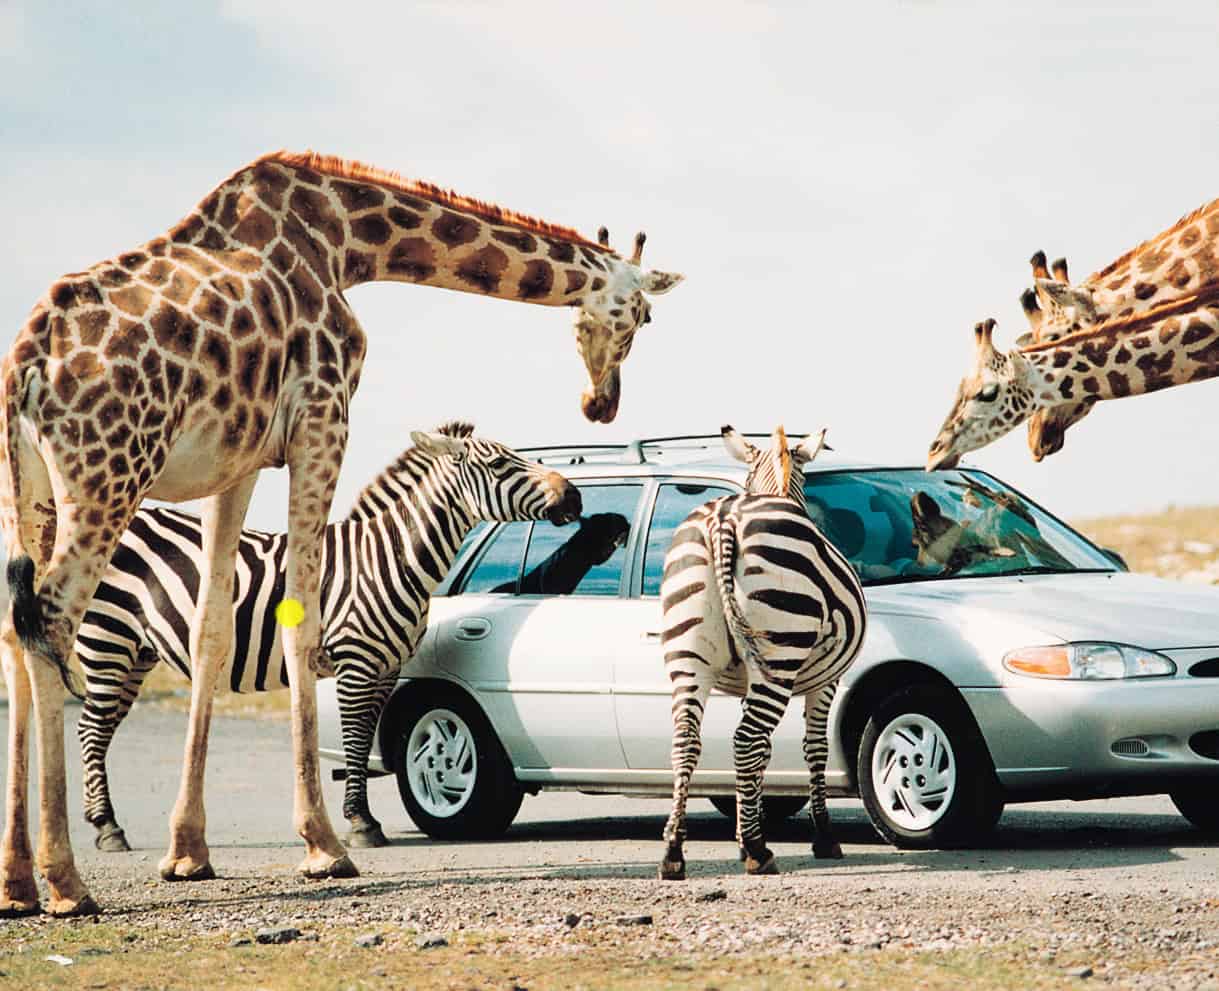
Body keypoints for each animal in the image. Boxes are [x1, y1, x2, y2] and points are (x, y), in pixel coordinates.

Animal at [76, 419, 580, 848]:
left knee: (98, 729)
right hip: (106, 638)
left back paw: (101, 822)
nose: (573, 496)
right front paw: (360, 823)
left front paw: (364, 817)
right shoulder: (356, 663)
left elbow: (367, 739)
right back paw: (107, 828)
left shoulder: (386, 668)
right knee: (89, 728)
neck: (388, 557)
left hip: (136, 652)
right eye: (499, 465)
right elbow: (356, 738)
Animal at [658, 421, 867, 877]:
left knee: (688, 741)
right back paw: (758, 852)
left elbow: (766, 753)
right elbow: (814, 748)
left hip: (688, 654)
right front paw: (822, 838)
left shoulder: (745, 682)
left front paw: (742, 830)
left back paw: (673, 853)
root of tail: (722, 520)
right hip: (780, 652)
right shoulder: (825, 682)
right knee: (745, 740)